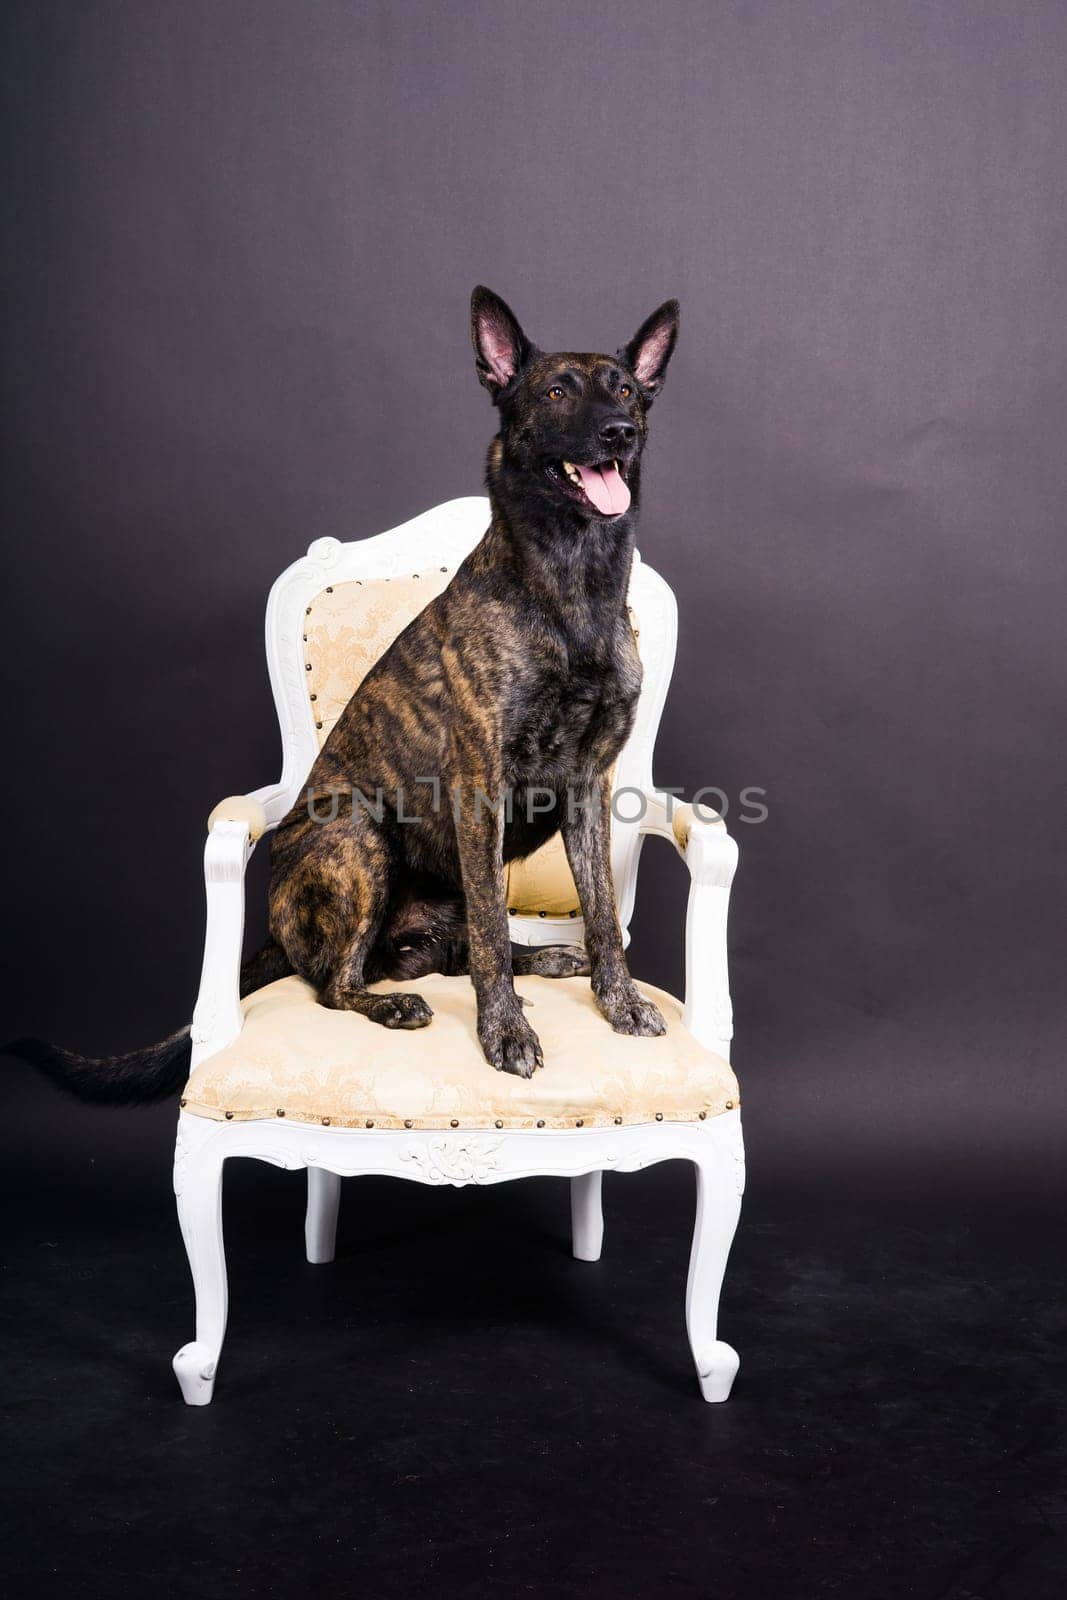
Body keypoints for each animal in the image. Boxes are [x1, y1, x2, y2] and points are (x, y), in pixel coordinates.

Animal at [10, 288, 684, 1100]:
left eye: (627, 390)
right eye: (556, 392)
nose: (620, 432)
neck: (572, 585)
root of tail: (275, 931)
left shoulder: (587, 789)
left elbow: (600, 913)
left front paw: (619, 1000)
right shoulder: (479, 787)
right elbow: (494, 931)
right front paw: (505, 1034)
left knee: (457, 948)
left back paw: (545, 958)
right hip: (359, 839)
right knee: (343, 980)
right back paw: (395, 1003)